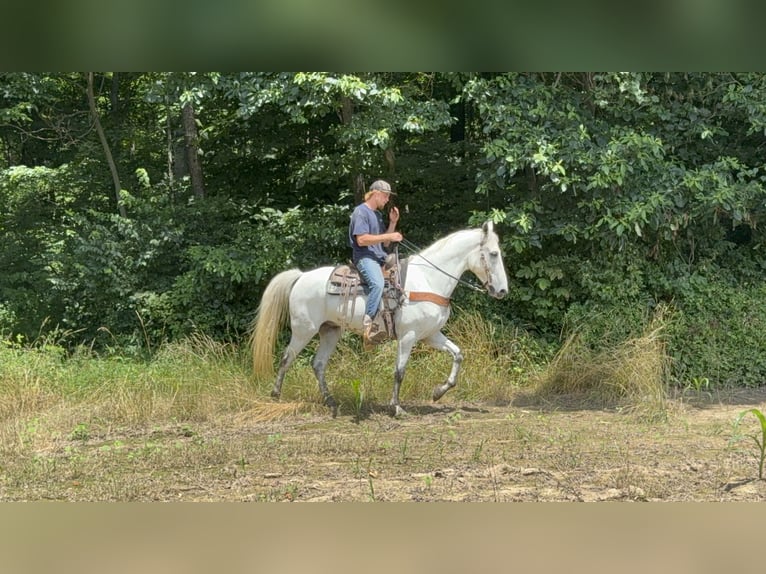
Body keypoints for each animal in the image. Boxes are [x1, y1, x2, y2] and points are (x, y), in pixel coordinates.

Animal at [250, 220, 509, 417]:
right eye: (494, 254)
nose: (503, 291)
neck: (427, 279)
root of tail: (301, 276)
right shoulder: (408, 336)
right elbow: (399, 372)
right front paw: (396, 408)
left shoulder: (431, 335)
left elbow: (458, 355)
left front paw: (438, 392)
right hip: (304, 330)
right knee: (286, 358)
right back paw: (275, 395)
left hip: (330, 330)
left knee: (318, 364)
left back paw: (330, 401)